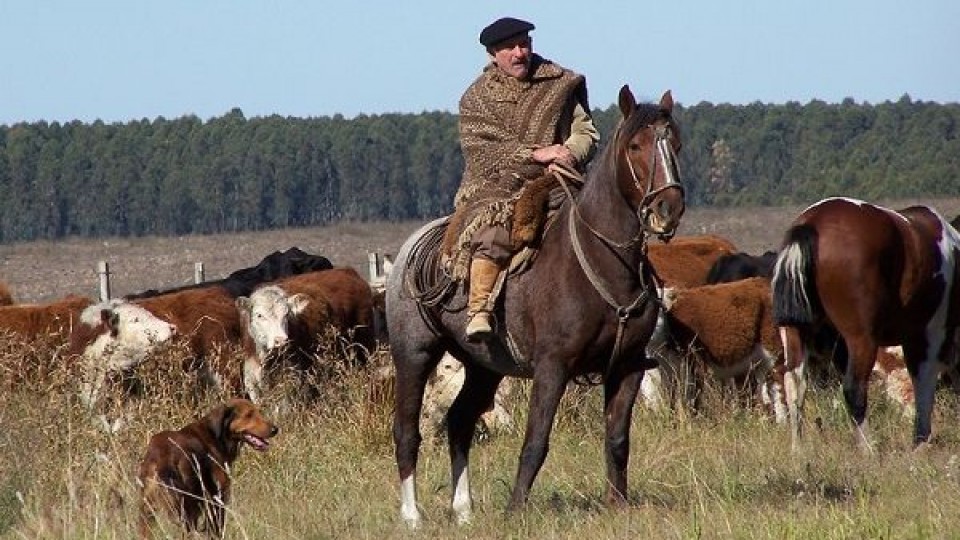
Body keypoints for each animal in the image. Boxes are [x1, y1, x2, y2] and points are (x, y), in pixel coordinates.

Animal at [137, 396, 278, 536]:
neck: (216, 436)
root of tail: (162, 457)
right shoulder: (217, 500)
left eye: (259, 412)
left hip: (148, 512)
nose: (275, 430)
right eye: (249, 415)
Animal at [234, 266, 376, 400]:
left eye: (287, 314)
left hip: (364, 346)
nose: (281, 340)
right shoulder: (252, 383)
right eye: (259, 315)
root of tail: (347, 271)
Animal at [382, 85, 684, 528]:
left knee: (460, 422)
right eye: (635, 146)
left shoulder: (627, 367)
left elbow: (617, 439)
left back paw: (464, 510)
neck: (601, 262)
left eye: (675, 144)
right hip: (414, 356)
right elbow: (536, 440)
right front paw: (515, 510)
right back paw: (412, 515)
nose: (668, 209)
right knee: (407, 431)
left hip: (484, 367)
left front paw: (618, 505)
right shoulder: (552, 368)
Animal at [772, 197, 960, 452]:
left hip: (796, 334)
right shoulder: (929, 336)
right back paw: (868, 449)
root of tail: (812, 222)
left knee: (795, 386)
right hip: (861, 339)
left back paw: (798, 449)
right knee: (854, 388)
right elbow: (925, 383)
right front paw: (920, 442)